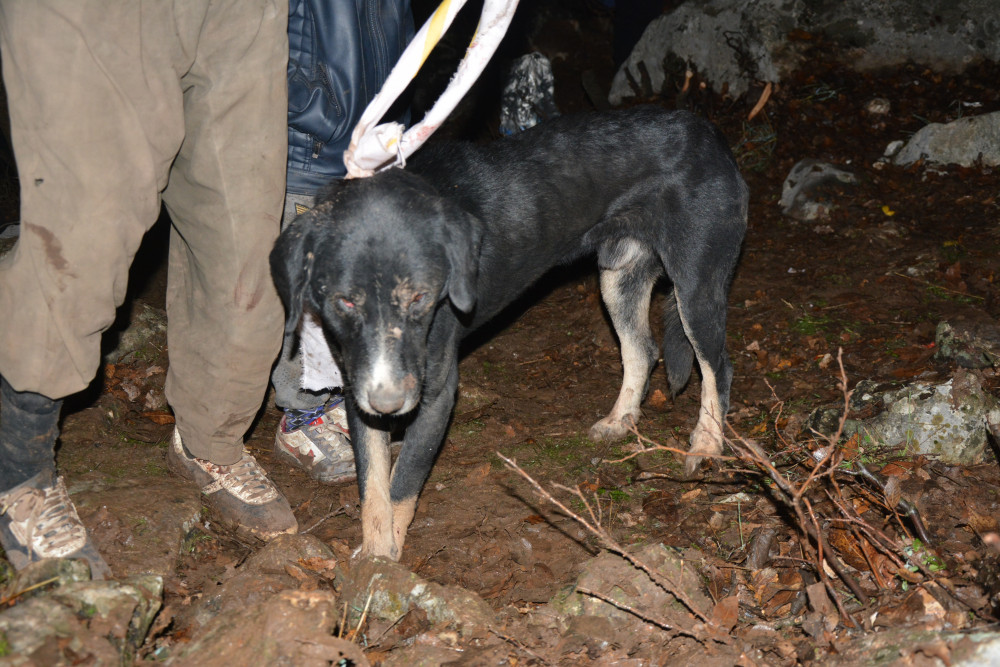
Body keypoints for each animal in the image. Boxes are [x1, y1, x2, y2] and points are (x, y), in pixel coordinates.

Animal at [270, 105, 748, 560]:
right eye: (345, 302)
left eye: (420, 296)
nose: (388, 403)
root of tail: (710, 135)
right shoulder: (359, 389)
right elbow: (373, 490)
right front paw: (373, 554)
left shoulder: (437, 393)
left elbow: (402, 484)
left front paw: (385, 566)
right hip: (618, 279)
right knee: (642, 350)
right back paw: (620, 420)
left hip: (695, 286)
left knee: (718, 368)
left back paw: (706, 446)